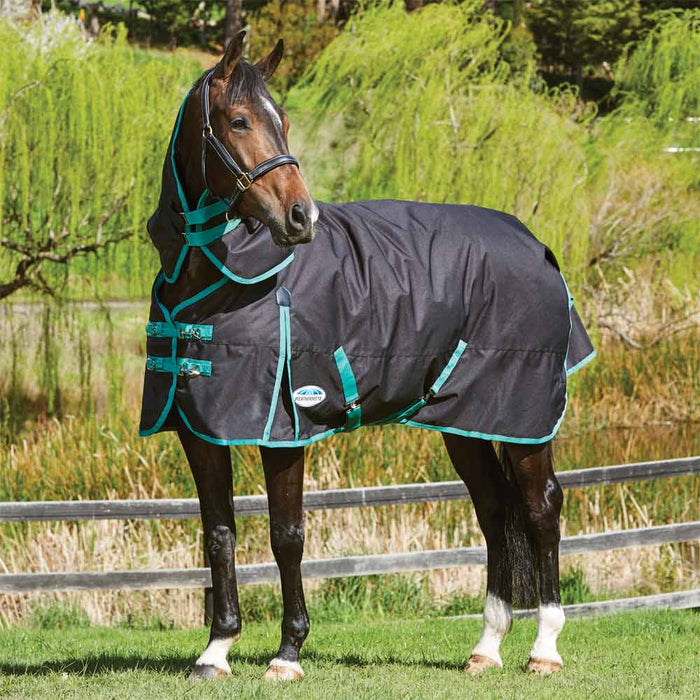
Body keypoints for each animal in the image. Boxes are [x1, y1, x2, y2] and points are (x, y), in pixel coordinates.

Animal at [141, 32, 595, 681]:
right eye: (239, 120)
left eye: (283, 121)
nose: (300, 217)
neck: (223, 280)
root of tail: (538, 247)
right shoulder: (200, 429)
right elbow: (219, 533)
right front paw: (216, 650)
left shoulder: (286, 426)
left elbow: (286, 535)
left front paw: (287, 653)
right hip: (466, 420)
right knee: (494, 510)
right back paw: (486, 647)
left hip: (525, 420)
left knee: (540, 508)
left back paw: (544, 648)